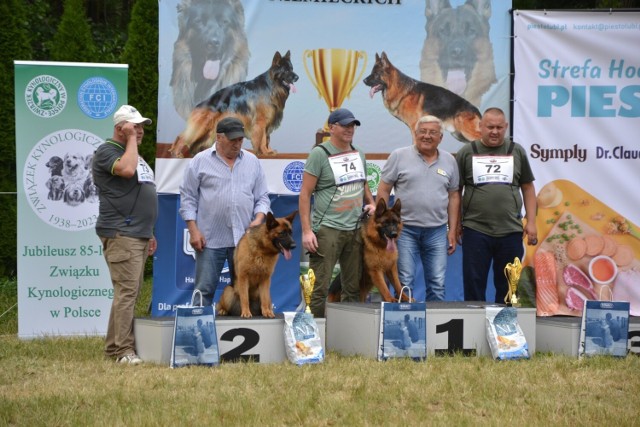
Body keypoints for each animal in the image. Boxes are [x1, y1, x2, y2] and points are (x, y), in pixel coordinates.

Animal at [170, 50, 300, 157]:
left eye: (292, 68)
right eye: (286, 70)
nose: (297, 77)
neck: (272, 86)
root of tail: (201, 103)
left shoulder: (268, 122)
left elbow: (267, 139)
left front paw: (268, 151)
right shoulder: (261, 122)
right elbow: (262, 139)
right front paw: (264, 152)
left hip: (208, 132)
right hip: (201, 127)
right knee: (182, 137)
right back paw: (176, 153)